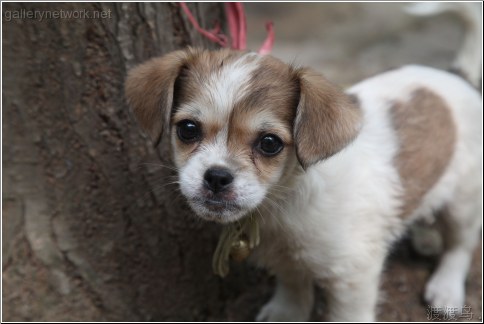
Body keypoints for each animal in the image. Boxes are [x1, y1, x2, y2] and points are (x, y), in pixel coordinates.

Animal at [124, 3, 480, 322]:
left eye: (269, 143)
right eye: (188, 129)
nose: (216, 177)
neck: (284, 201)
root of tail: (456, 77)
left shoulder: (354, 275)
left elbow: (346, 315)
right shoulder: (285, 260)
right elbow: (293, 286)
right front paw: (287, 313)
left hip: (464, 202)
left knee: (460, 247)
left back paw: (446, 289)